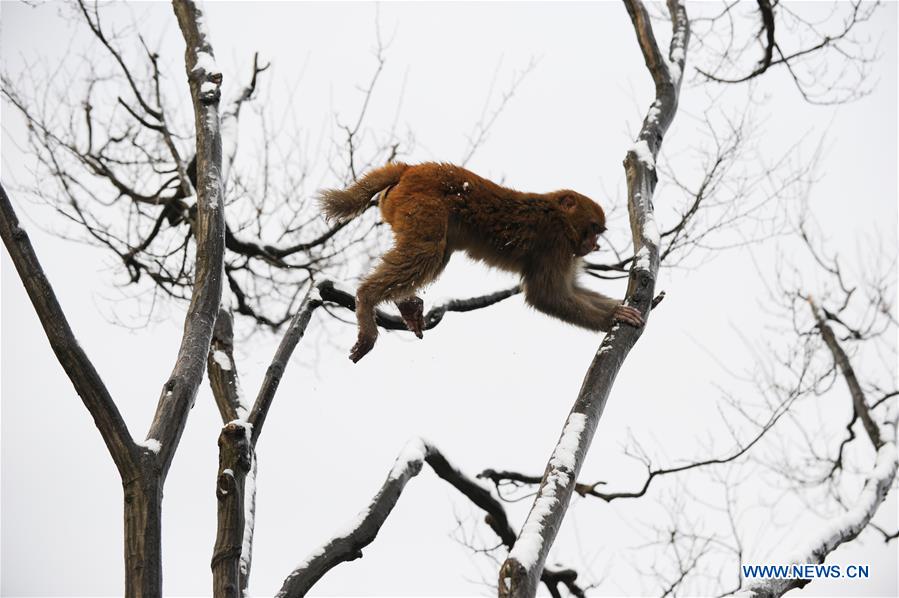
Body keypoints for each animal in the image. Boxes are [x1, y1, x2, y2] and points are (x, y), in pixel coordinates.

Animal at [318, 162, 644, 362]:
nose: (594, 245)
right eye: (593, 228)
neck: (560, 217)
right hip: (420, 205)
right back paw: (366, 299)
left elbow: (572, 290)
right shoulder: (556, 244)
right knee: (427, 251)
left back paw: (404, 303)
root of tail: (410, 169)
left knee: (436, 254)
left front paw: (626, 308)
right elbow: (547, 295)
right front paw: (612, 317)